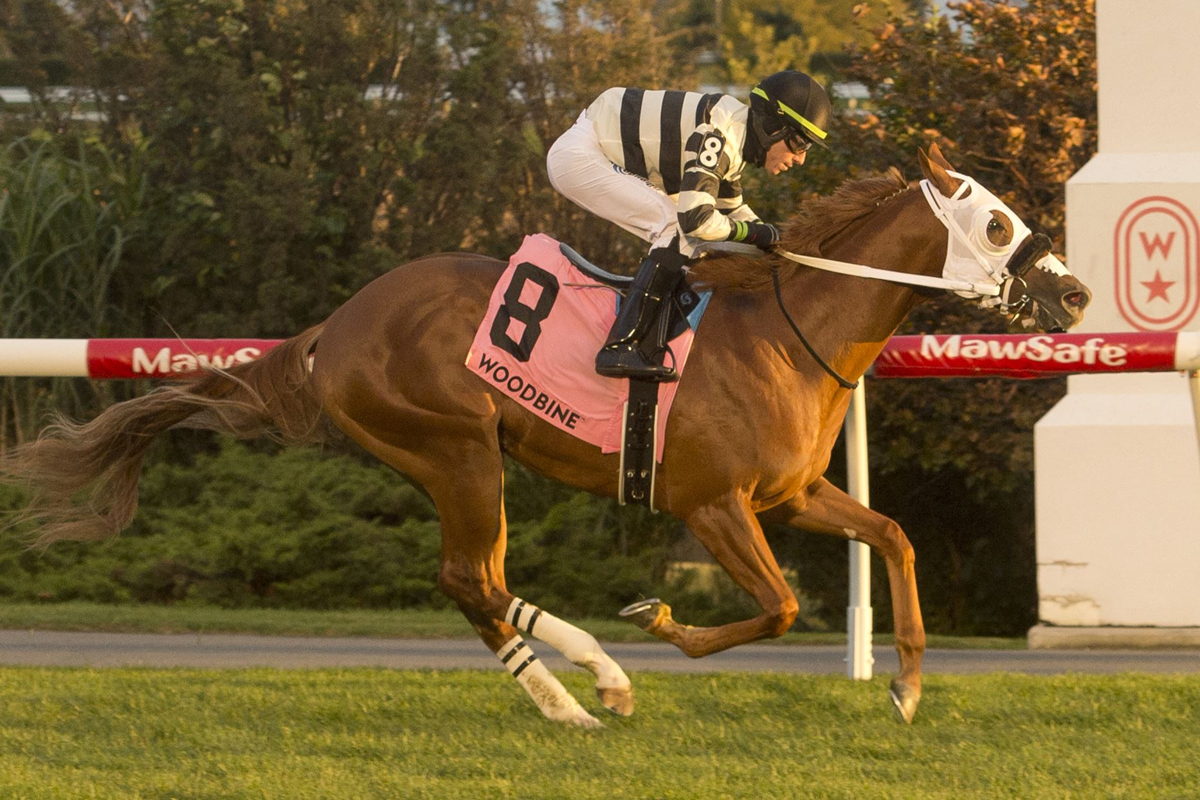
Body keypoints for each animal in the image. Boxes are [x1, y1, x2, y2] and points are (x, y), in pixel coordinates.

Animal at [0, 146, 1089, 729]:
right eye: (998, 224)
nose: (1075, 291)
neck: (789, 327)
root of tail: (329, 332)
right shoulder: (712, 503)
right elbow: (778, 607)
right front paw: (663, 621)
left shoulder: (788, 494)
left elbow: (894, 536)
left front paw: (903, 685)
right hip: (456, 448)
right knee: (471, 578)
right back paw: (587, 689)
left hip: (461, 459)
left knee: (477, 582)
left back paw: (577, 688)